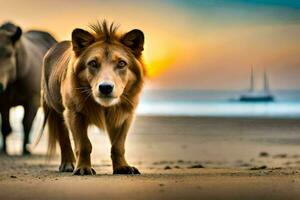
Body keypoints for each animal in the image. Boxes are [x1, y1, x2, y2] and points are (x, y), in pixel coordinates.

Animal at [41, 21, 146, 175]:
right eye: (93, 63)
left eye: (121, 63)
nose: (106, 87)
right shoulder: (74, 113)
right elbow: (83, 145)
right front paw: (83, 168)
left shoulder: (125, 115)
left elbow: (118, 146)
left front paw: (122, 167)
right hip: (56, 110)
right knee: (64, 139)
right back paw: (68, 164)